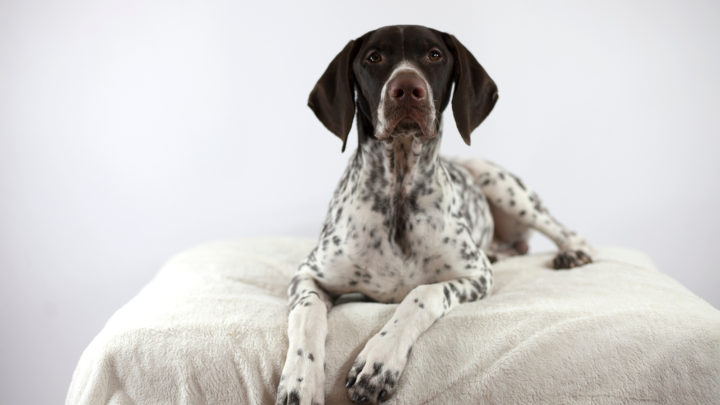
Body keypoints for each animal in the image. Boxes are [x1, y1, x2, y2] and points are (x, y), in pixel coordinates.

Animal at [276, 25, 592, 404]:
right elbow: (307, 314)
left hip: (501, 184)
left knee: (565, 231)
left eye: (434, 55)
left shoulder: (476, 276)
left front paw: (379, 361)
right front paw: (300, 380)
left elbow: (421, 294)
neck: (398, 195)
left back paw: (572, 252)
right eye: (373, 57)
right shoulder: (308, 275)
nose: (407, 89)